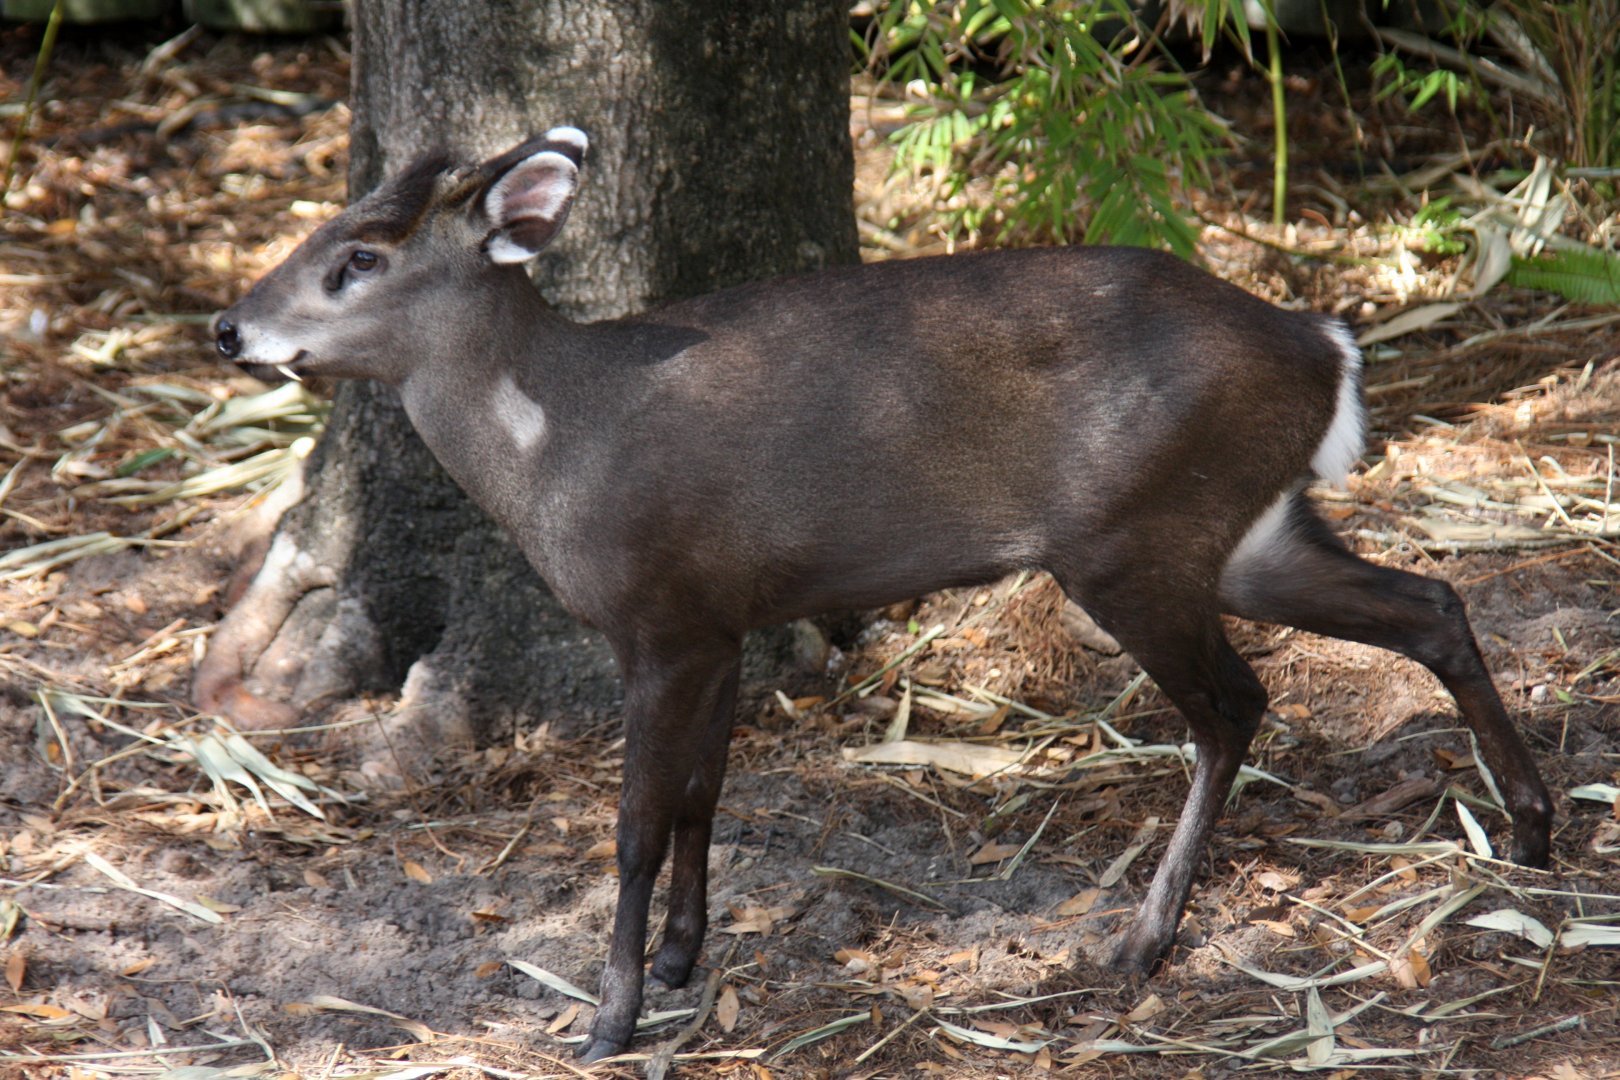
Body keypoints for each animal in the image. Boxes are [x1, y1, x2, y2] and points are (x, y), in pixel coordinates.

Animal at [212, 128, 1553, 1063]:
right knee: (1430, 602)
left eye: (358, 259)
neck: (559, 447)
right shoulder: (724, 619)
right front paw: (686, 961)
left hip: (1132, 537)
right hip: (1243, 529)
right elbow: (705, 793)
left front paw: (609, 1019)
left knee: (1236, 705)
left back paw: (1141, 938)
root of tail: (1324, 345)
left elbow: (639, 823)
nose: (228, 327)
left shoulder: (661, 615)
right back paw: (1535, 824)